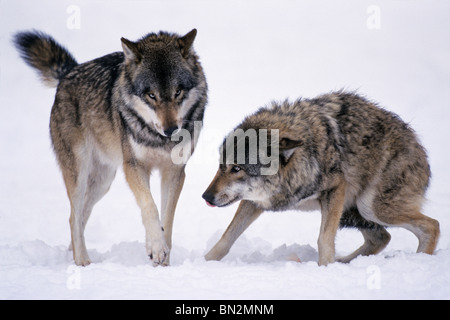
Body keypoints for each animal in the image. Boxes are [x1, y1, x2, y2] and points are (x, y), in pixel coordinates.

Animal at [14, 28, 207, 266]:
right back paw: (82, 261)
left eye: (178, 92)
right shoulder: (133, 166)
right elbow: (149, 206)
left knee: (81, 216)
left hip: (102, 182)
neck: (157, 138)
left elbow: (167, 221)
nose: (171, 130)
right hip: (79, 174)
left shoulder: (174, 172)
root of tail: (69, 71)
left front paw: (163, 262)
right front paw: (156, 247)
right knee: (73, 217)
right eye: (151, 95)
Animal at [205, 91, 440, 266]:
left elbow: (324, 239)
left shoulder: (335, 188)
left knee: (432, 225)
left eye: (236, 168)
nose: (205, 196)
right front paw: (205, 263)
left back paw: (419, 261)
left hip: (371, 208)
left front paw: (325, 268)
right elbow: (226, 238)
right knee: (382, 238)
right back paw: (344, 262)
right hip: (353, 213)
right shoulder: (255, 201)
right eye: (220, 166)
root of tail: (421, 150)